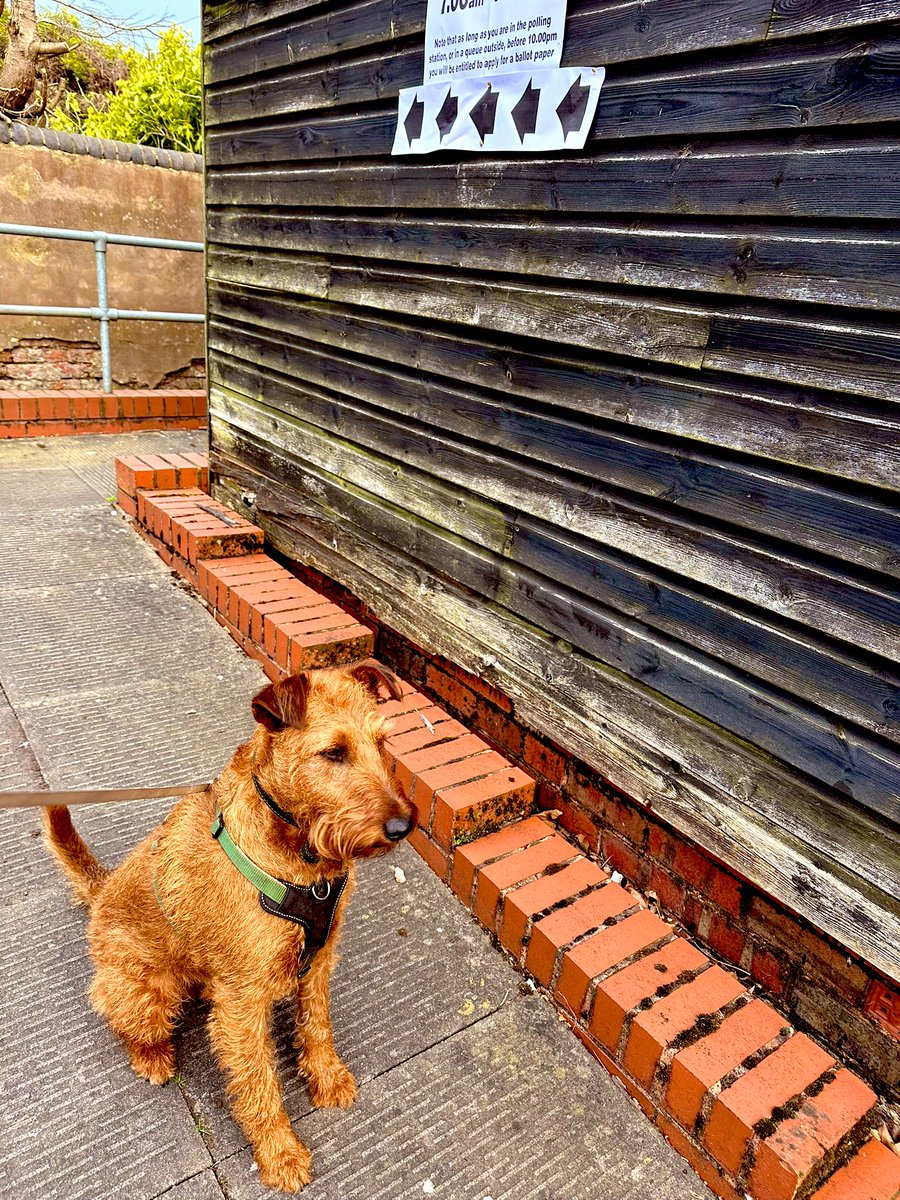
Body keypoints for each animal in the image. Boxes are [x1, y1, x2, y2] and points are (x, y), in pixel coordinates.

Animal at [45, 662, 415, 1195]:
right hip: (148, 992)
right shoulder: (242, 1003)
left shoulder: (318, 960)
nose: (403, 826)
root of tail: (101, 891)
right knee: (121, 1017)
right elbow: (259, 1084)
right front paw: (280, 1154)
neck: (300, 861)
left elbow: (317, 1026)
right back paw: (151, 1057)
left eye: (383, 742)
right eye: (334, 752)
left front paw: (326, 1079)